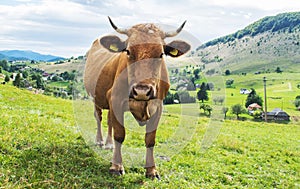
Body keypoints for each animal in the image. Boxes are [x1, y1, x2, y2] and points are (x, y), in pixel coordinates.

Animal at [83, 17, 190, 179]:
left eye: (161, 54)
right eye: (128, 51)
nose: (141, 91)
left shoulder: (158, 107)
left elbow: (150, 139)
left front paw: (152, 170)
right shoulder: (115, 100)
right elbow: (120, 135)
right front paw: (116, 166)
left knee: (109, 121)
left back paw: (109, 144)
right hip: (95, 98)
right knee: (99, 117)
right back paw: (100, 141)